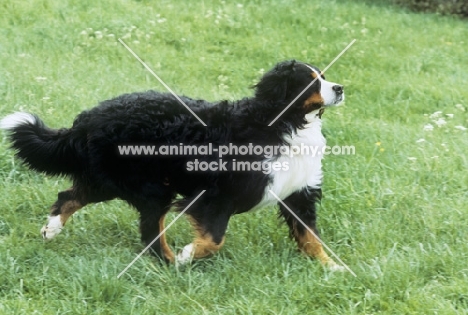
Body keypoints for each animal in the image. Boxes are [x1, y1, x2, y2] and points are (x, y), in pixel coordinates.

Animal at [0, 59, 344, 272]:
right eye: (310, 82)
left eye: (324, 77)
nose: (340, 88)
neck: (284, 124)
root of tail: (87, 119)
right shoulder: (216, 195)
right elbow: (213, 240)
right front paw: (187, 255)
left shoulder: (299, 192)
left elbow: (311, 237)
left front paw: (331, 267)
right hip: (149, 187)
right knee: (150, 232)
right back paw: (169, 262)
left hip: (112, 181)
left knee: (69, 196)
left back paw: (51, 229)